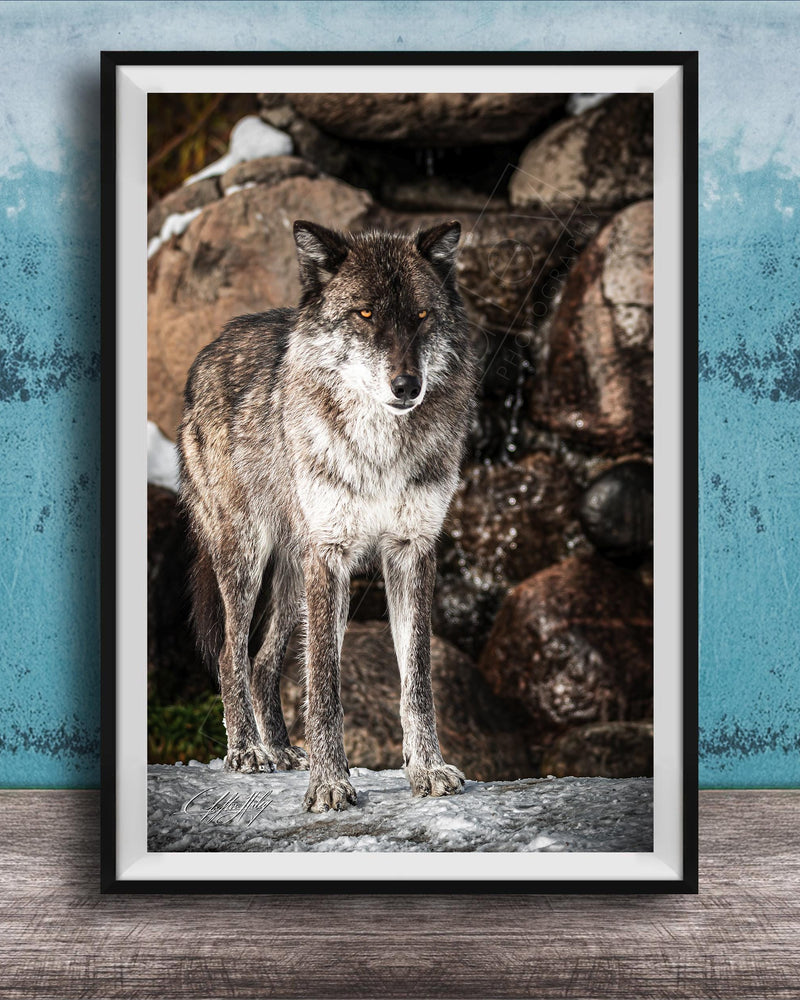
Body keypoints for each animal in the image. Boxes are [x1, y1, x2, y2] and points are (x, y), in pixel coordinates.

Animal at [177, 219, 476, 812]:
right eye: (364, 314)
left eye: (421, 316)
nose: (407, 386)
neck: (381, 449)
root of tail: (209, 351)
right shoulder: (332, 555)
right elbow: (324, 686)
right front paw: (330, 783)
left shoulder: (410, 553)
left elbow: (417, 680)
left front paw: (427, 769)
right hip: (248, 556)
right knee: (229, 653)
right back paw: (248, 750)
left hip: (295, 576)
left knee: (264, 662)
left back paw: (281, 749)